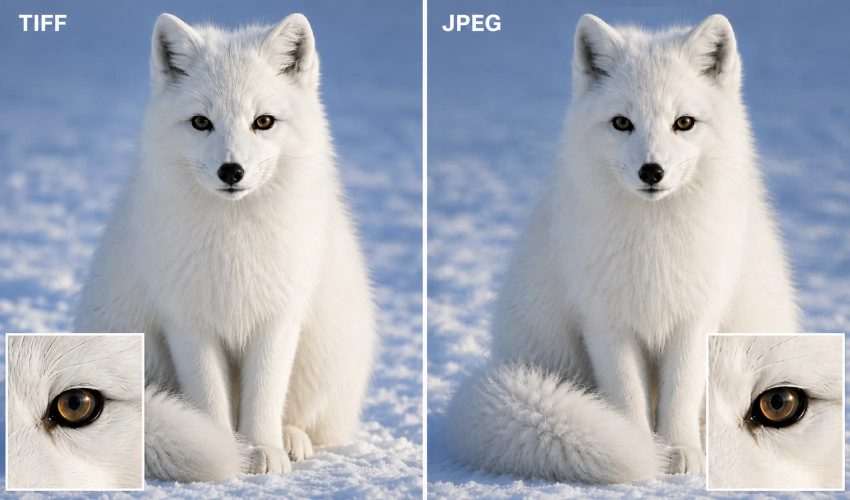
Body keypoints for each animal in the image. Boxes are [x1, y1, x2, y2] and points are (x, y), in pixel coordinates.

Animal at [74, 12, 377, 481]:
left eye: (263, 121)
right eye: (201, 122)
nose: (231, 171)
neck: (235, 240)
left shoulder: (277, 316)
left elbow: (265, 395)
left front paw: (265, 451)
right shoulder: (188, 321)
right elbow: (209, 400)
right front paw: (225, 451)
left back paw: (292, 439)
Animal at [445, 14, 798, 483]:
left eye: (684, 122)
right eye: (621, 123)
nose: (652, 171)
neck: (653, 241)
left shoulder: (695, 317)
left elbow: (682, 393)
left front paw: (681, 452)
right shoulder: (606, 321)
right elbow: (627, 398)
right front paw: (643, 450)